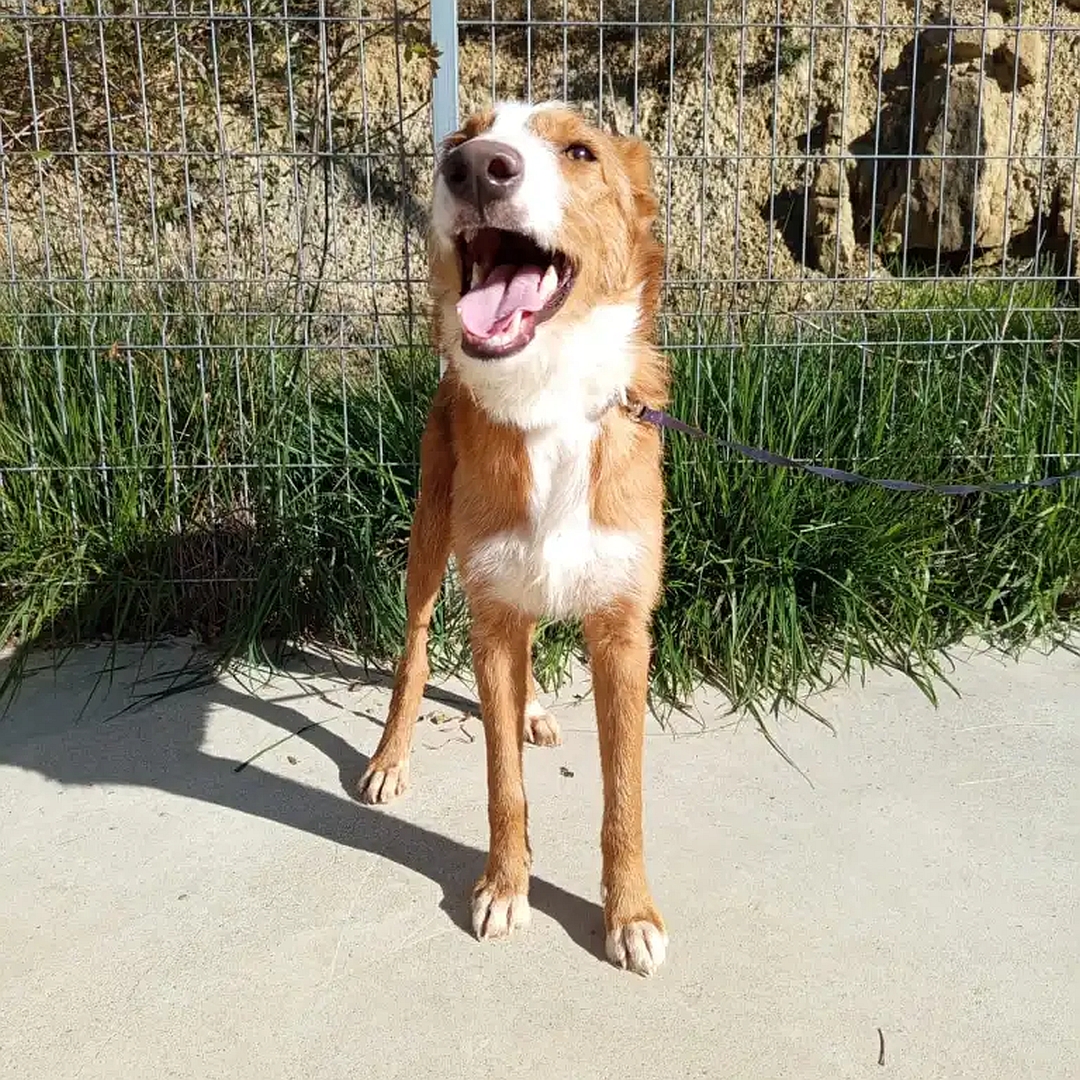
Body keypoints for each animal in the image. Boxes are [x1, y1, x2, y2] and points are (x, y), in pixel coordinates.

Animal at [358, 101, 669, 980]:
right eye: (459, 141)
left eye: (581, 152)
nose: (475, 168)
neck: (549, 403)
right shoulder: (490, 613)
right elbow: (504, 783)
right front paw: (504, 886)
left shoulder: (623, 631)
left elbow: (625, 796)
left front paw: (630, 913)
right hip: (429, 543)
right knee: (414, 650)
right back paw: (391, 756)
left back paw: (530, 708)